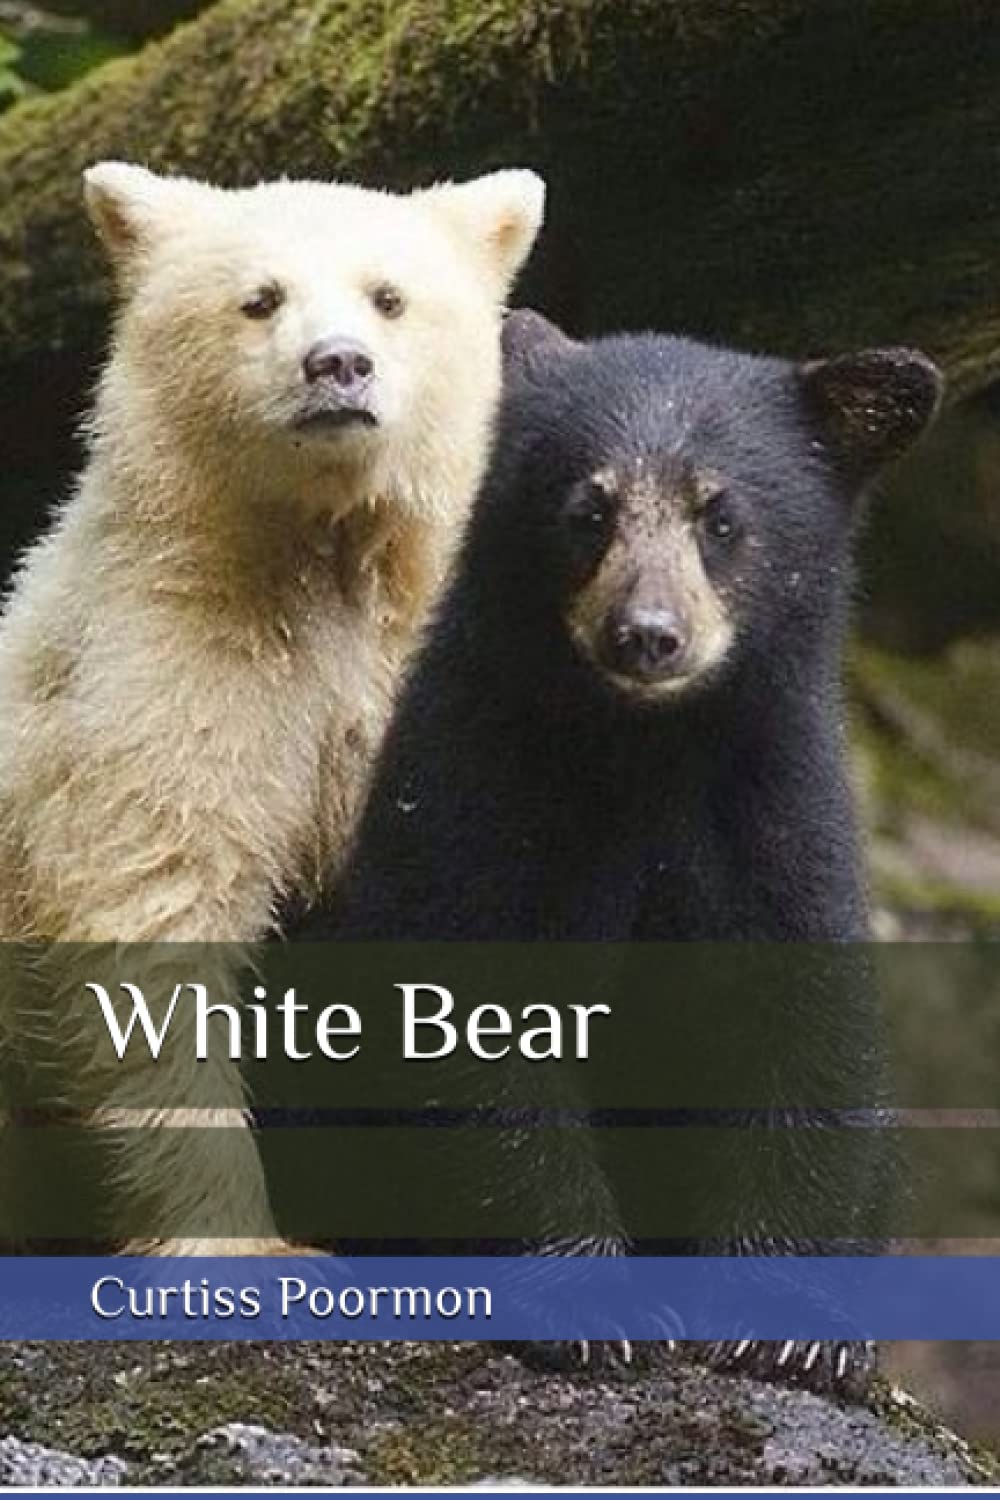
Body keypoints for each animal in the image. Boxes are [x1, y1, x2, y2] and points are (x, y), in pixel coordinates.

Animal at [0, 163, 545, 1254]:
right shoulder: (173, 666)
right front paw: (234, 1236)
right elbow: (158, 918)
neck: (323, 556)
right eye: (259, 299)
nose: (337, 365)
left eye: (388, 296)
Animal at [280, 309, 943, 1391]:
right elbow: (474, 1033)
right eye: (587, 510)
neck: (643, 751)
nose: (647, 635)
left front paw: (792, 1326)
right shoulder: (475, 796)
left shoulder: (779, 808)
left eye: (721, 517)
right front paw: (593, 1306)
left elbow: (803, 1035)